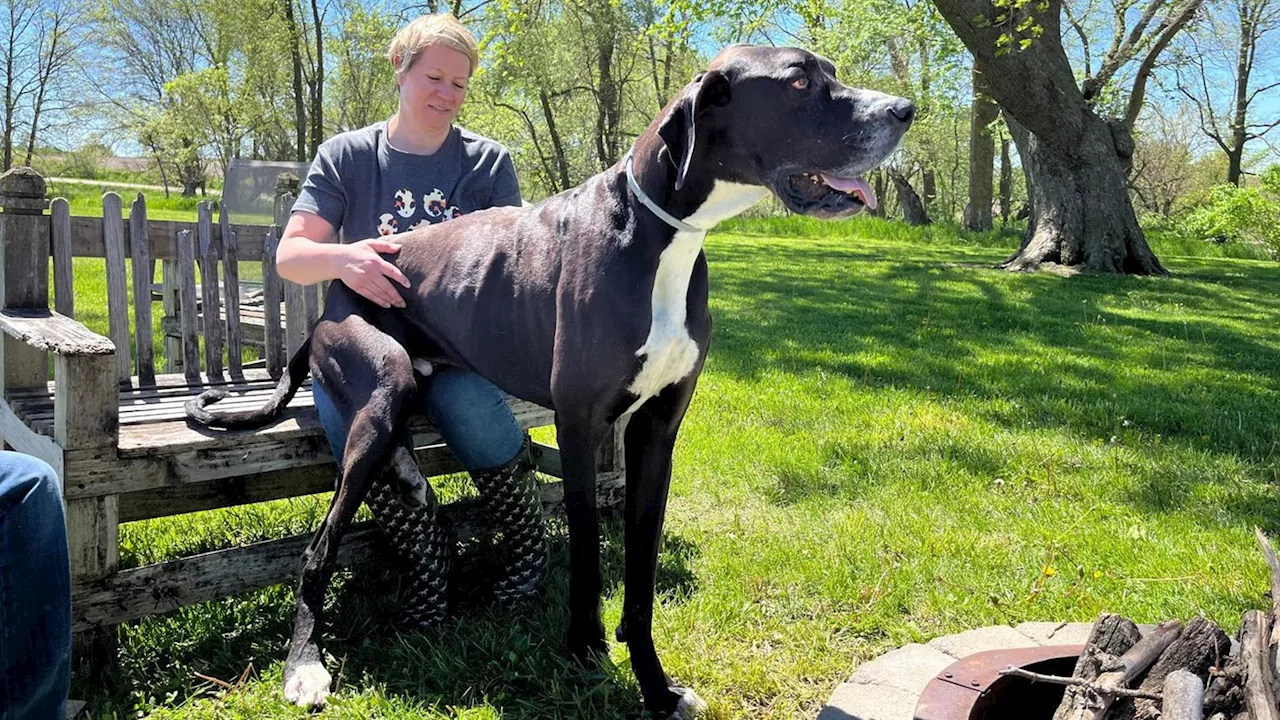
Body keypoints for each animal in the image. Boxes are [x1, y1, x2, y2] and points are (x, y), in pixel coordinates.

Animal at [186, 44, 911, 717]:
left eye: (830, 71)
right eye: (798, 83)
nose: (905, 110)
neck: (662, 234)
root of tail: (328, 301)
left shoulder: (657, 431)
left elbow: (641, 569)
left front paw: (656, 686)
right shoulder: (582, 423)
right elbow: (589, 552)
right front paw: (585, 649)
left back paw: (412, 481)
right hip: (380, 378)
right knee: (320, 548)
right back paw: (304, 666)